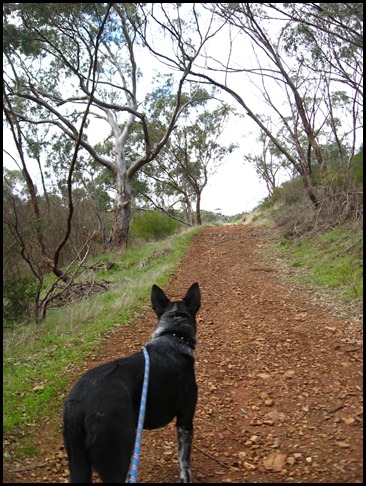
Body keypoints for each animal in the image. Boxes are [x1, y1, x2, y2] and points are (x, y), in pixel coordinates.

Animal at [63, 280, 200, 482]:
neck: (173, 335)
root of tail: (77, 405)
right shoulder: (185, 421)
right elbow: (185, 466)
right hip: (116, 457)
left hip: (78, 461)